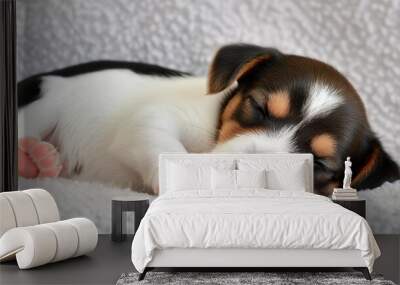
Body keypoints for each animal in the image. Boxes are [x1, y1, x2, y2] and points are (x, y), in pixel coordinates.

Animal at [18, 43, 400, 195]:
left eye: (319, 163)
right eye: (259, 108)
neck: (215, 129)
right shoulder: (152, 120)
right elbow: (169, 151)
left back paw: (39, 161)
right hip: (44, 100)